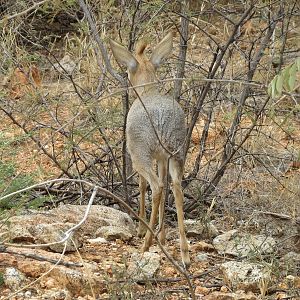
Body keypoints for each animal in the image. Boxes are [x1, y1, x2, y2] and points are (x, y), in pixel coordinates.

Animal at [109, 32, 190, 268]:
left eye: (128, 70)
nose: (125, 78)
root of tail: (161, 120)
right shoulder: (161, 158)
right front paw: (162, 235)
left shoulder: (139, 155)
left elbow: (142, 185)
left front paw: (140, 229)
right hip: (176, 155)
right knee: (175, 187)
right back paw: (185, 255)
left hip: (141, 157)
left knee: (156, 186)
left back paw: (146, 243)